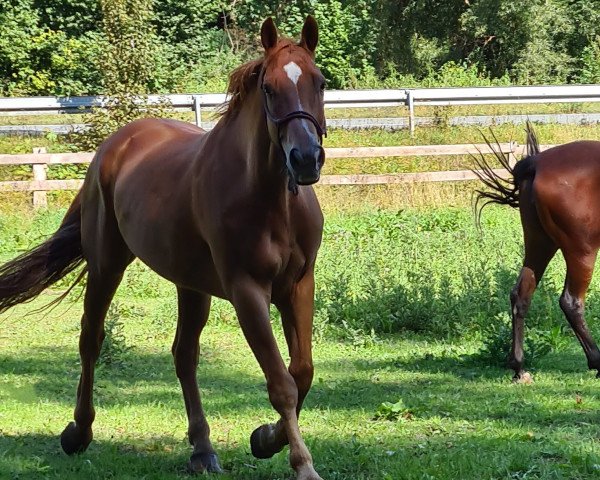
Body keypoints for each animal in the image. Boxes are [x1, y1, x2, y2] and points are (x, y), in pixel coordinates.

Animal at [0, 15, 328, 480]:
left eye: (319, 82)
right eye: (269, 87)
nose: (305, 159)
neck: (269, 201)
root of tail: (113, 146)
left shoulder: (299, 285)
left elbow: (302, 373)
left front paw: (265, 438)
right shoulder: (248, 292)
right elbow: (282, 383)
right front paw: (301, 463)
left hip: (191, 285)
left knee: (184, 355)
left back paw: (202, 449)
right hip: (107, 266)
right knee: (91, 338)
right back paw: (78, 432)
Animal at [476, 123, 600, 382]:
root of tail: (537, 163)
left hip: (539, 244)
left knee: (521, 294)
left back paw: (518, 367)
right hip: (581, 251)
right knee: (571, 302)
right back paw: (596, 360)